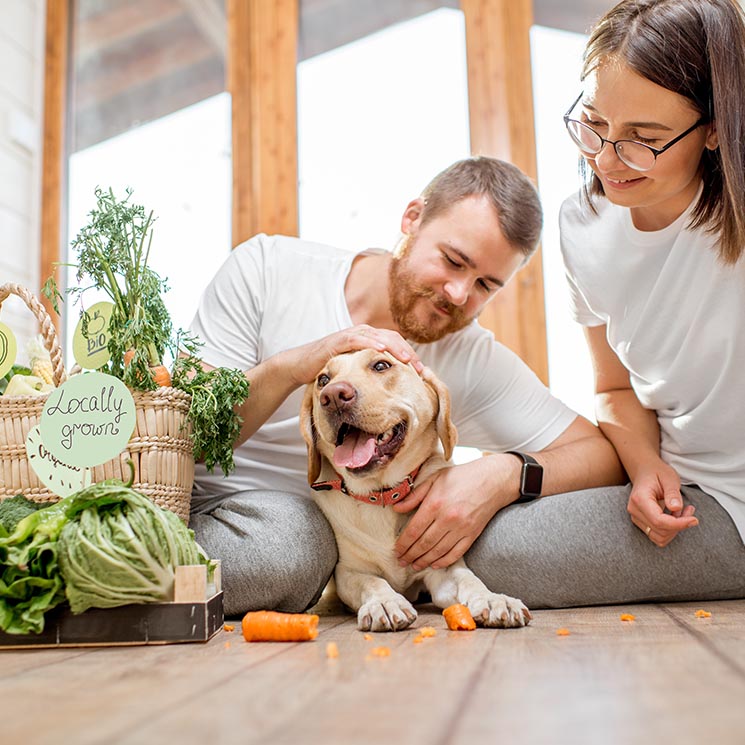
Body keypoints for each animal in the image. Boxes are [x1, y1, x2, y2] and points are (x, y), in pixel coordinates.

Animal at [300, 348, 532, 632]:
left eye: (381, 365)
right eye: (323, 379)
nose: (332, 396)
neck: (383, 494)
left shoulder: (441, 567)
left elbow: (469, 578)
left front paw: (493, 599)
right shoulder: (350, 572)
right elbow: (373, 582)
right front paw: (385, 603)